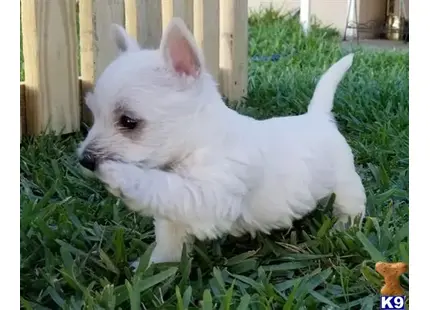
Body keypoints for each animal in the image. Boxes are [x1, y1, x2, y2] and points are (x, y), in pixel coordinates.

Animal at [77, 18, 366, 268]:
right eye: (94, 113)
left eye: (128, 121)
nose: (85, 160)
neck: (200, 142)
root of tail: (318, 117)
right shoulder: (179, 213)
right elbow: (168, 234)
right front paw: (156, 266)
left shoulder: (210, 197)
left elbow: (161, 186)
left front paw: (118, 174)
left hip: (345, 182)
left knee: (352, 205)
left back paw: (343, 229)